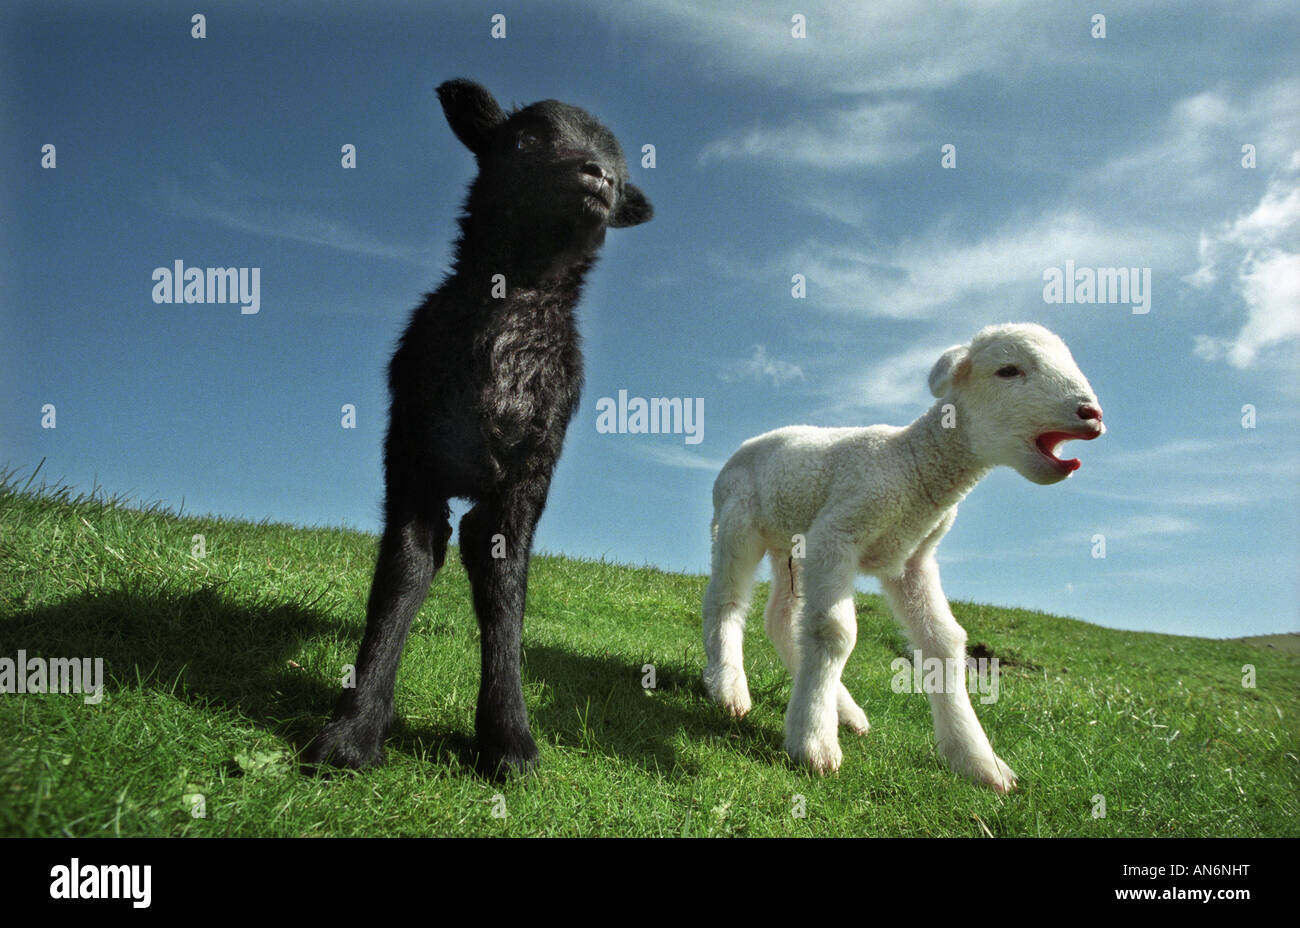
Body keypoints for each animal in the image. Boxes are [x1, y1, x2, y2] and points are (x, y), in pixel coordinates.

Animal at [707, 323, 1102, 790]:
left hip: (793, 544)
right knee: (726, 601)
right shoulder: (838, 532)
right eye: (1008, 370)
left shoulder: (913, 560)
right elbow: (834, 632)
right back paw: (729, 689)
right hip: (738, 519)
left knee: (782, 619)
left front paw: (978, 761)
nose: (1091, 414)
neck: (913, 467)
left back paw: (844, 710)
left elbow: (944, 642)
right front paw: (814, 746)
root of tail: (745, 444)